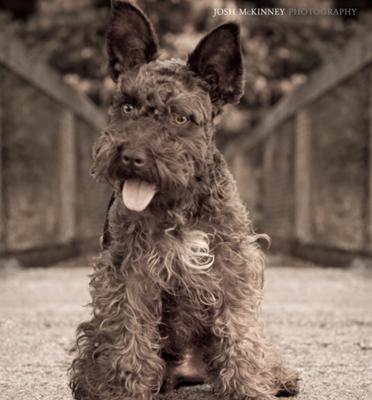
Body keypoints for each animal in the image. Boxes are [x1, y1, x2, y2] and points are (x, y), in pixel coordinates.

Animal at [70, 1, 300, 398]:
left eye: (180, 118)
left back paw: (278, 377)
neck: (177, 208)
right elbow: (129, 337)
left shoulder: (232, 267)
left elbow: (240, 335)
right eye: (127, 107)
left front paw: (247, 387)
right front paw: (127, 388)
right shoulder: (127, 274)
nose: (132, 156)